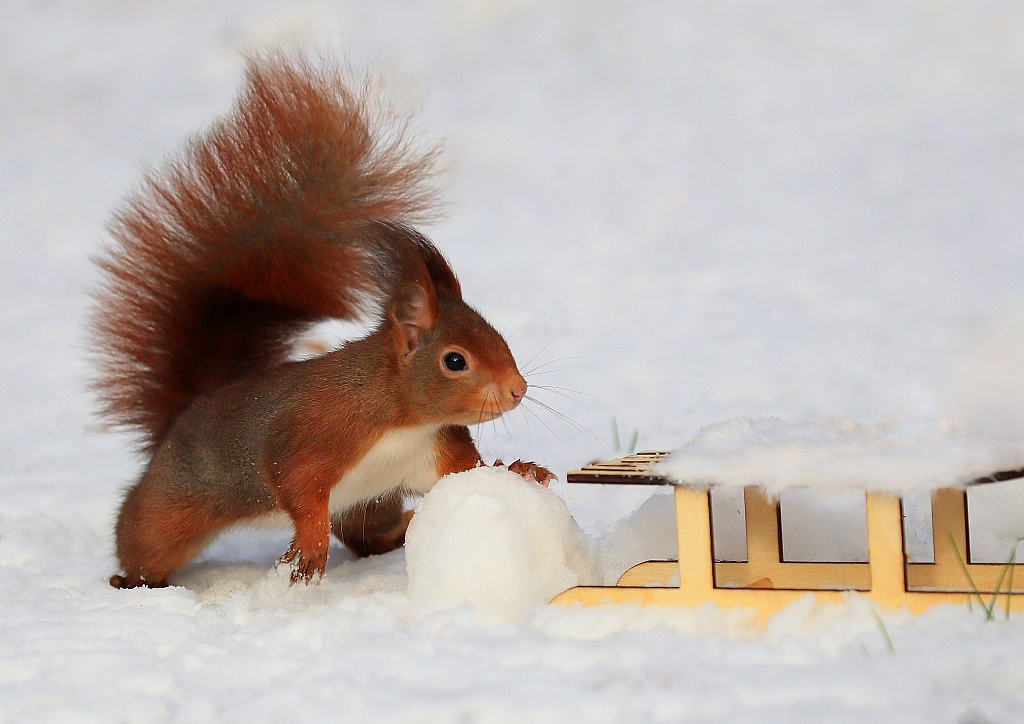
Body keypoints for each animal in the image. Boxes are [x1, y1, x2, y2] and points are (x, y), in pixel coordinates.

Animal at [90, 53, 552, 593]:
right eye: (455, 361)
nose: (518, 389)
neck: (401, 417)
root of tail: (186, 412)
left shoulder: (432, 451)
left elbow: (465, 472)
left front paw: (517, 470)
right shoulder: (314, 433)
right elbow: (297, 487)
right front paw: (308, 551)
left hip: (369, 504)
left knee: (371, 536)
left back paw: (405, 528)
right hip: (168, 512)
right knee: (142, 540)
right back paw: (127, 582)